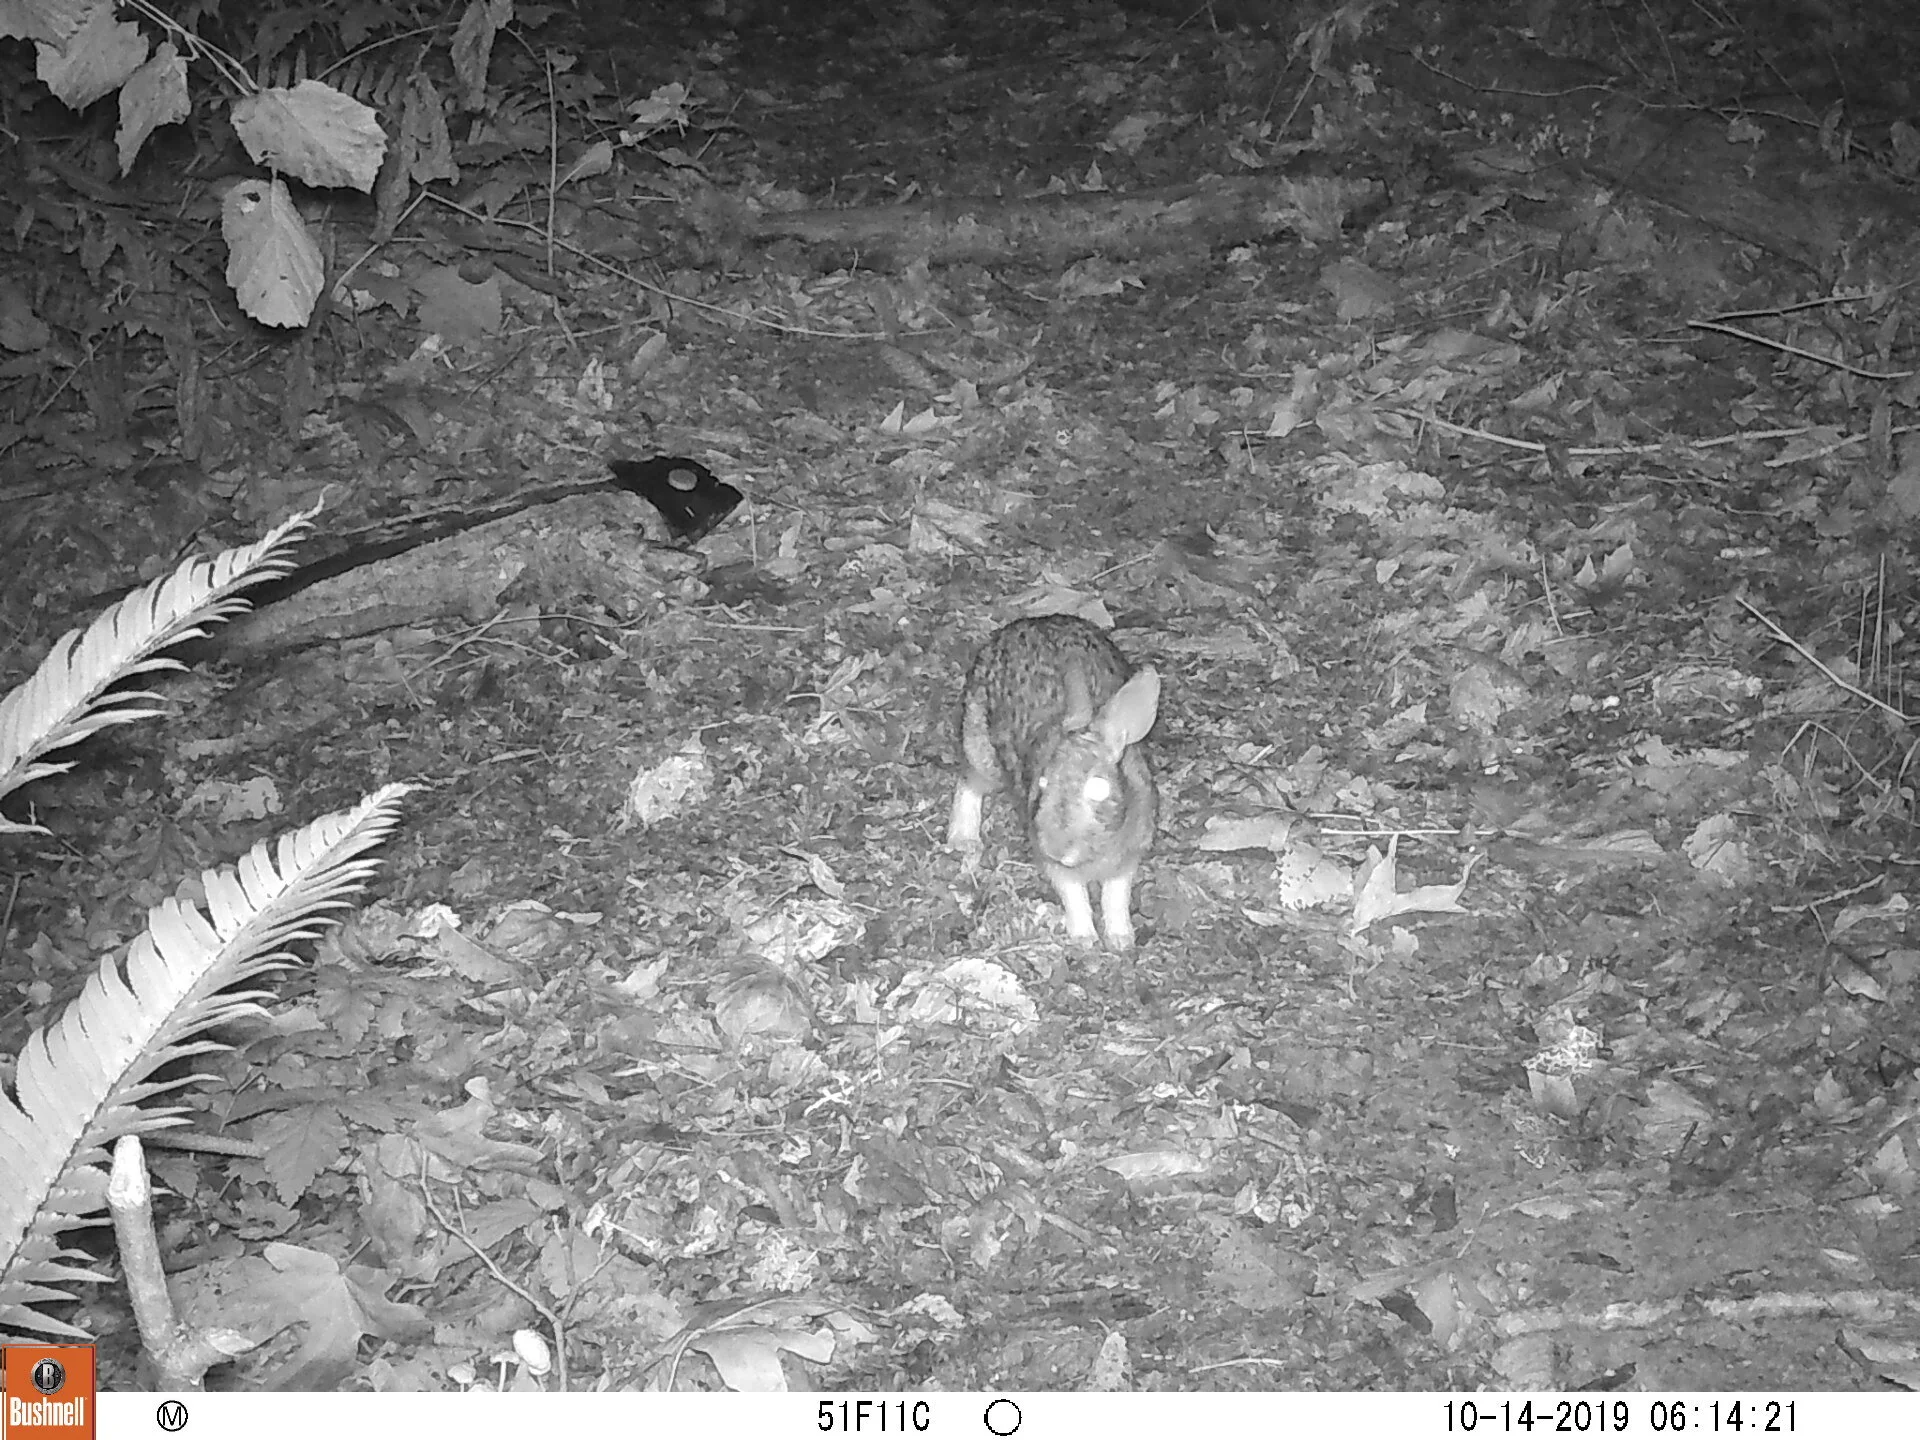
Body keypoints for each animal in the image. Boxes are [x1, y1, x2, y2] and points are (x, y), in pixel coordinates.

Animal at [946, 614, 1161, 950]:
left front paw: (1120, 939)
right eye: (1043, 782)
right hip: (980, 745)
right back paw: (963, 839)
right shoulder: (1057, 868)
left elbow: (1115, 897)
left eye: (1098, 788)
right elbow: (1075, 897)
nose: (1057, 849)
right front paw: (1085, 939)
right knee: (970, 782)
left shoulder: (1128, 859)